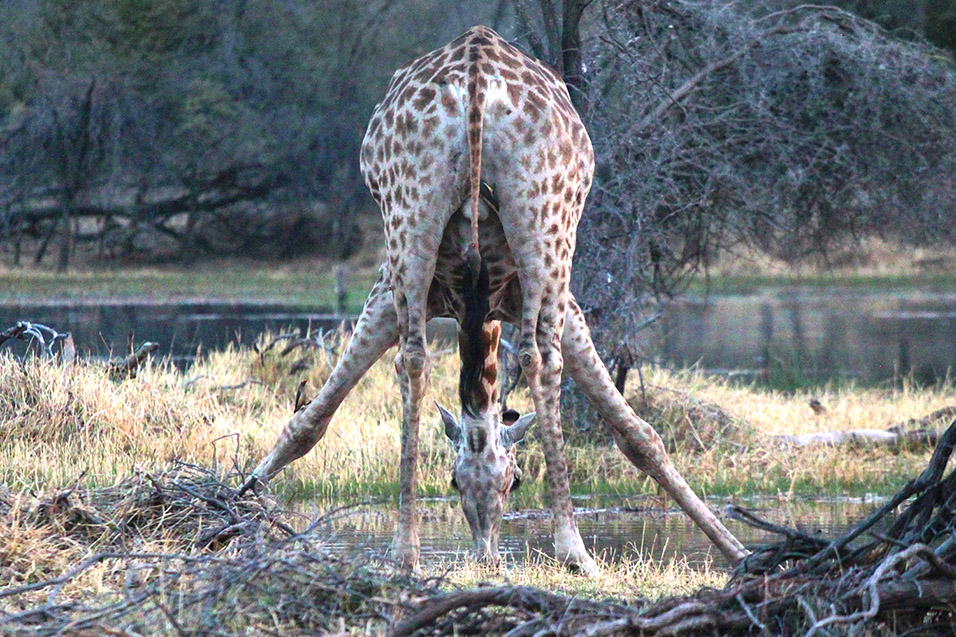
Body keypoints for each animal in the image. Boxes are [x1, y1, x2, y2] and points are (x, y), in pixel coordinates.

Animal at [241, 24, 748, 572]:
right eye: (456, 482)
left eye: (512, 482)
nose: (485, 554)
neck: (477, 308)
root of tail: (477, 75)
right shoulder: (554, 300)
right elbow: (637, 431)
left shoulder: (386, 291)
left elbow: (313, 415)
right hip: (546, 226)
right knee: (538, 357)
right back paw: (573, 549)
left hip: (410, 215)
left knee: (415, 359)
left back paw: (405, 551)